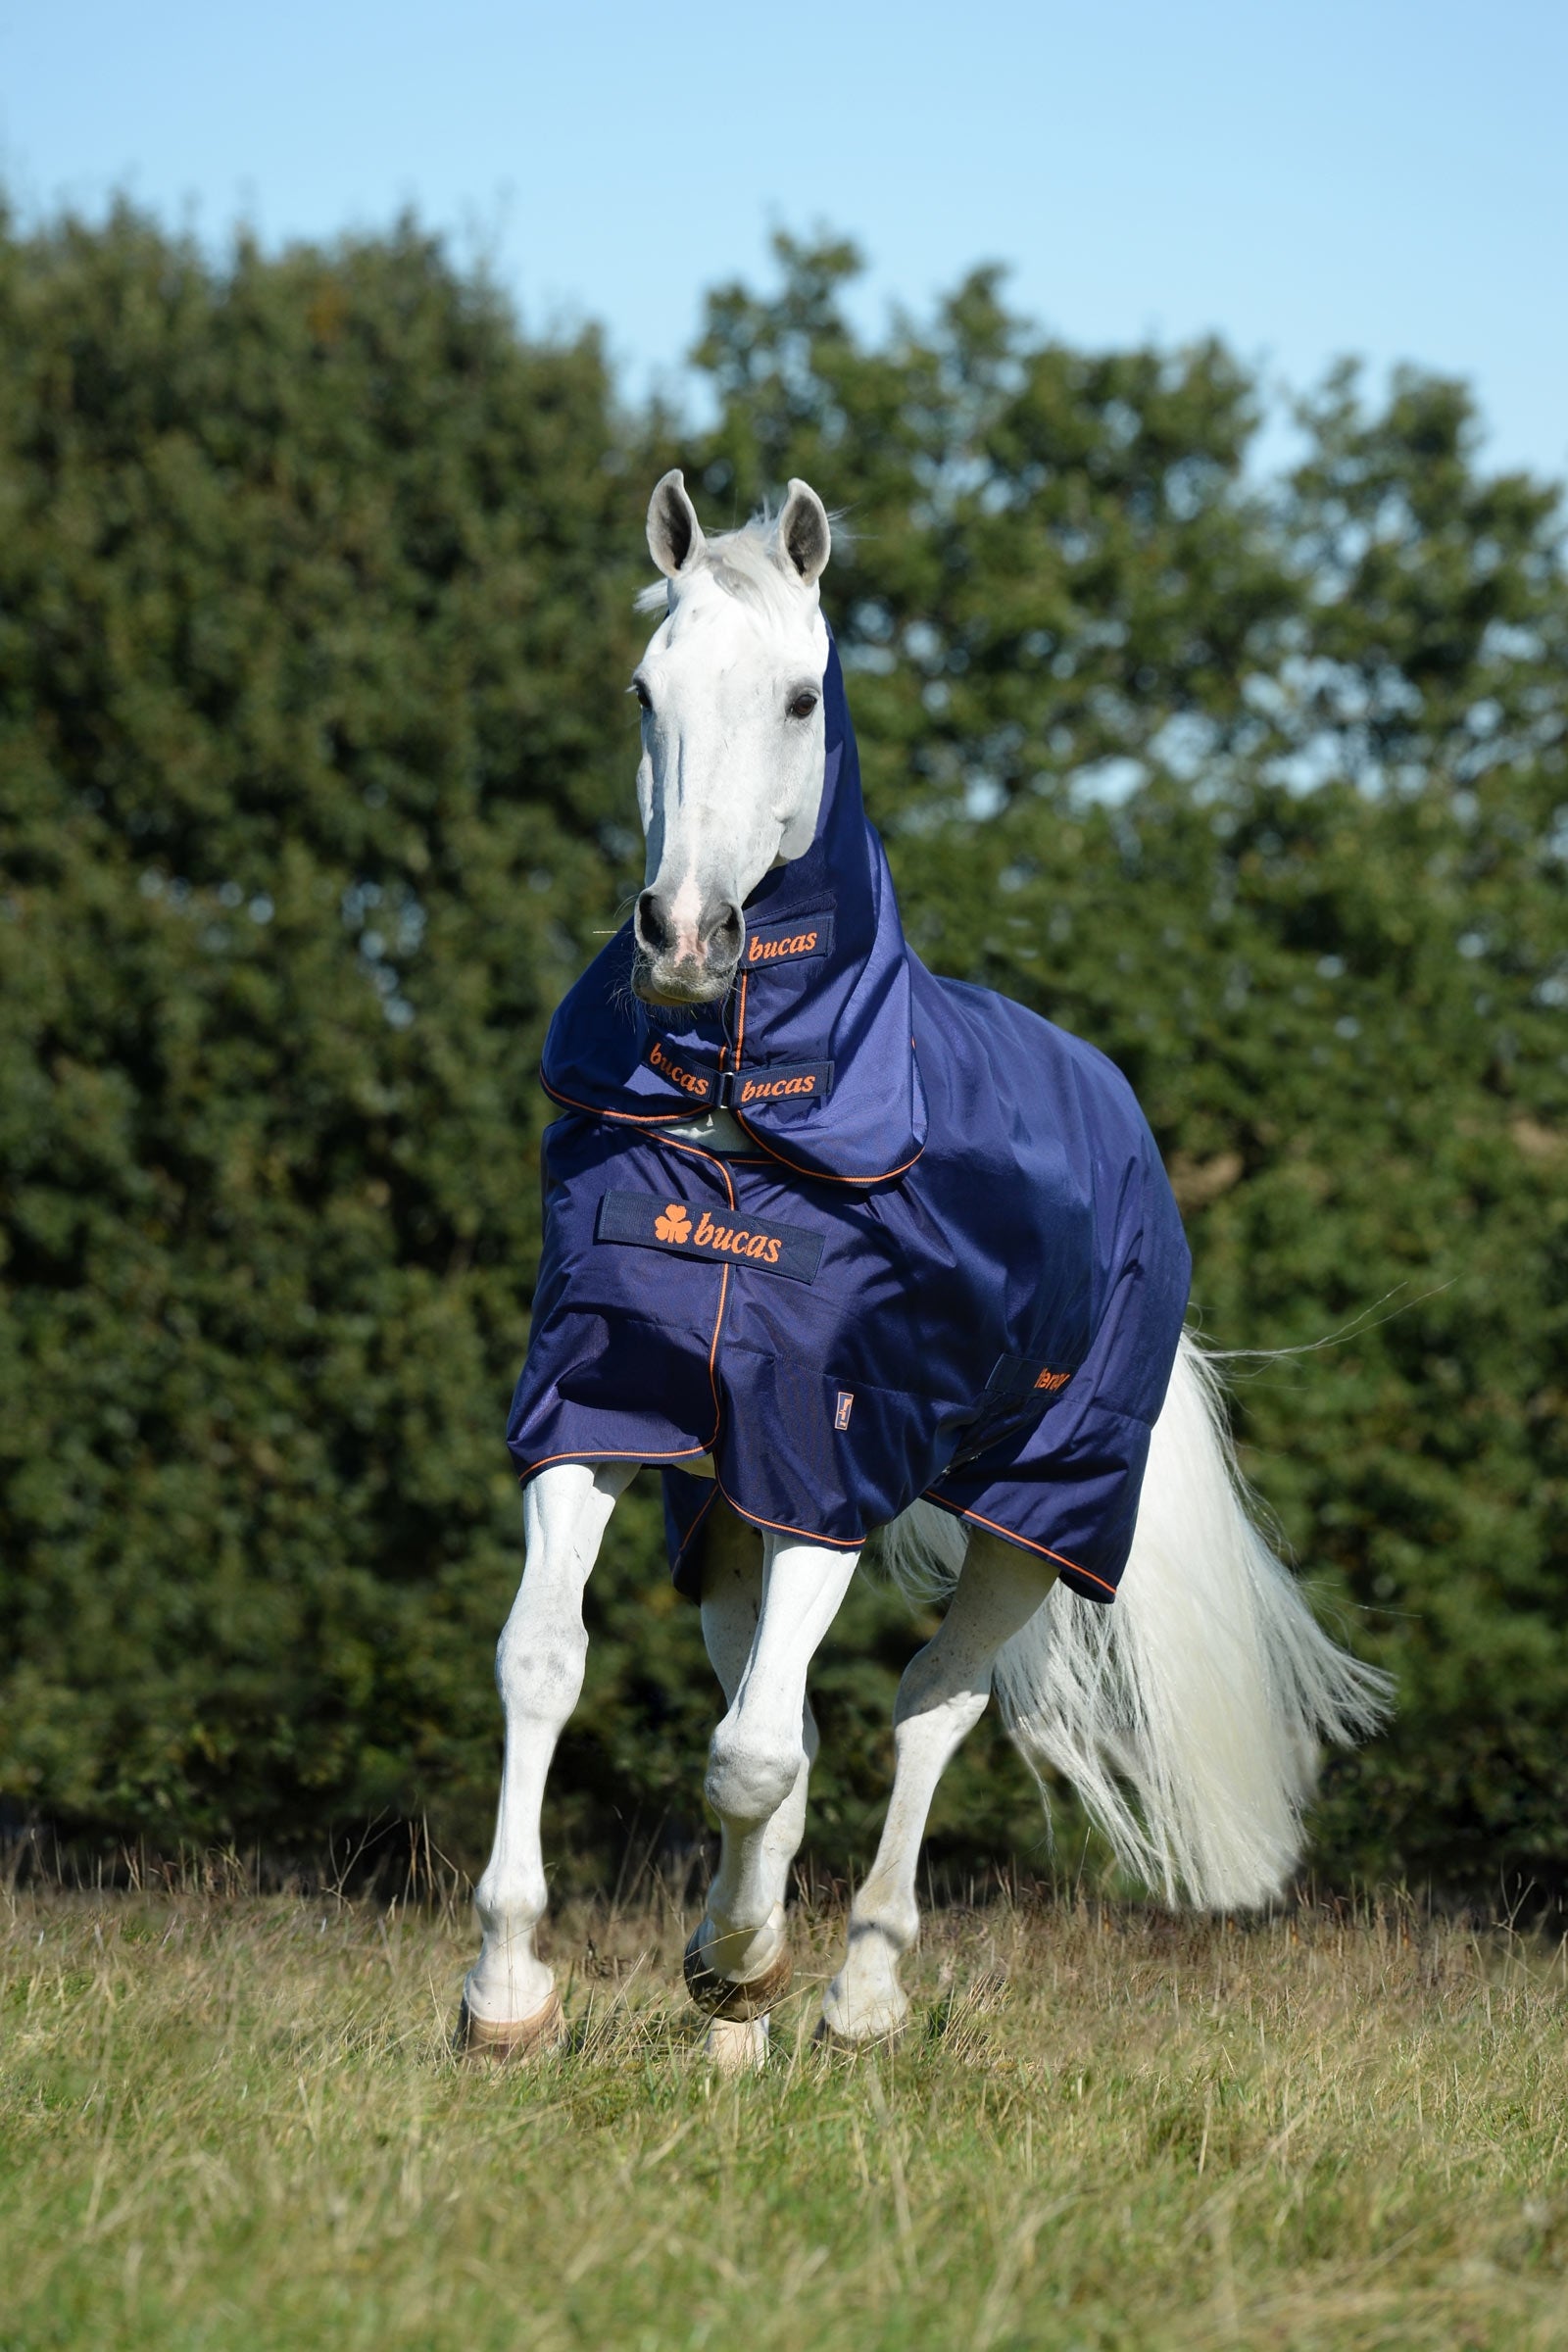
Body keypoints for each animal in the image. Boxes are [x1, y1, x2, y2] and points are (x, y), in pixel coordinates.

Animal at [457, 470, 1390, 2068]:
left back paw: (854, 1992)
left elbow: (754, 1753)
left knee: (933, 1706)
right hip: (728, 1512)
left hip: (1035, 1510)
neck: (745, 1108)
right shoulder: (605, 1412)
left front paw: (733, 1963)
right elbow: (551, 1664)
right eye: (644, 690)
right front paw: (514, 1991)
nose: (686, 938)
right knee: (797, 1710)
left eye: (798, 697)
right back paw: (745, 2030)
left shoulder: (830, 1459)